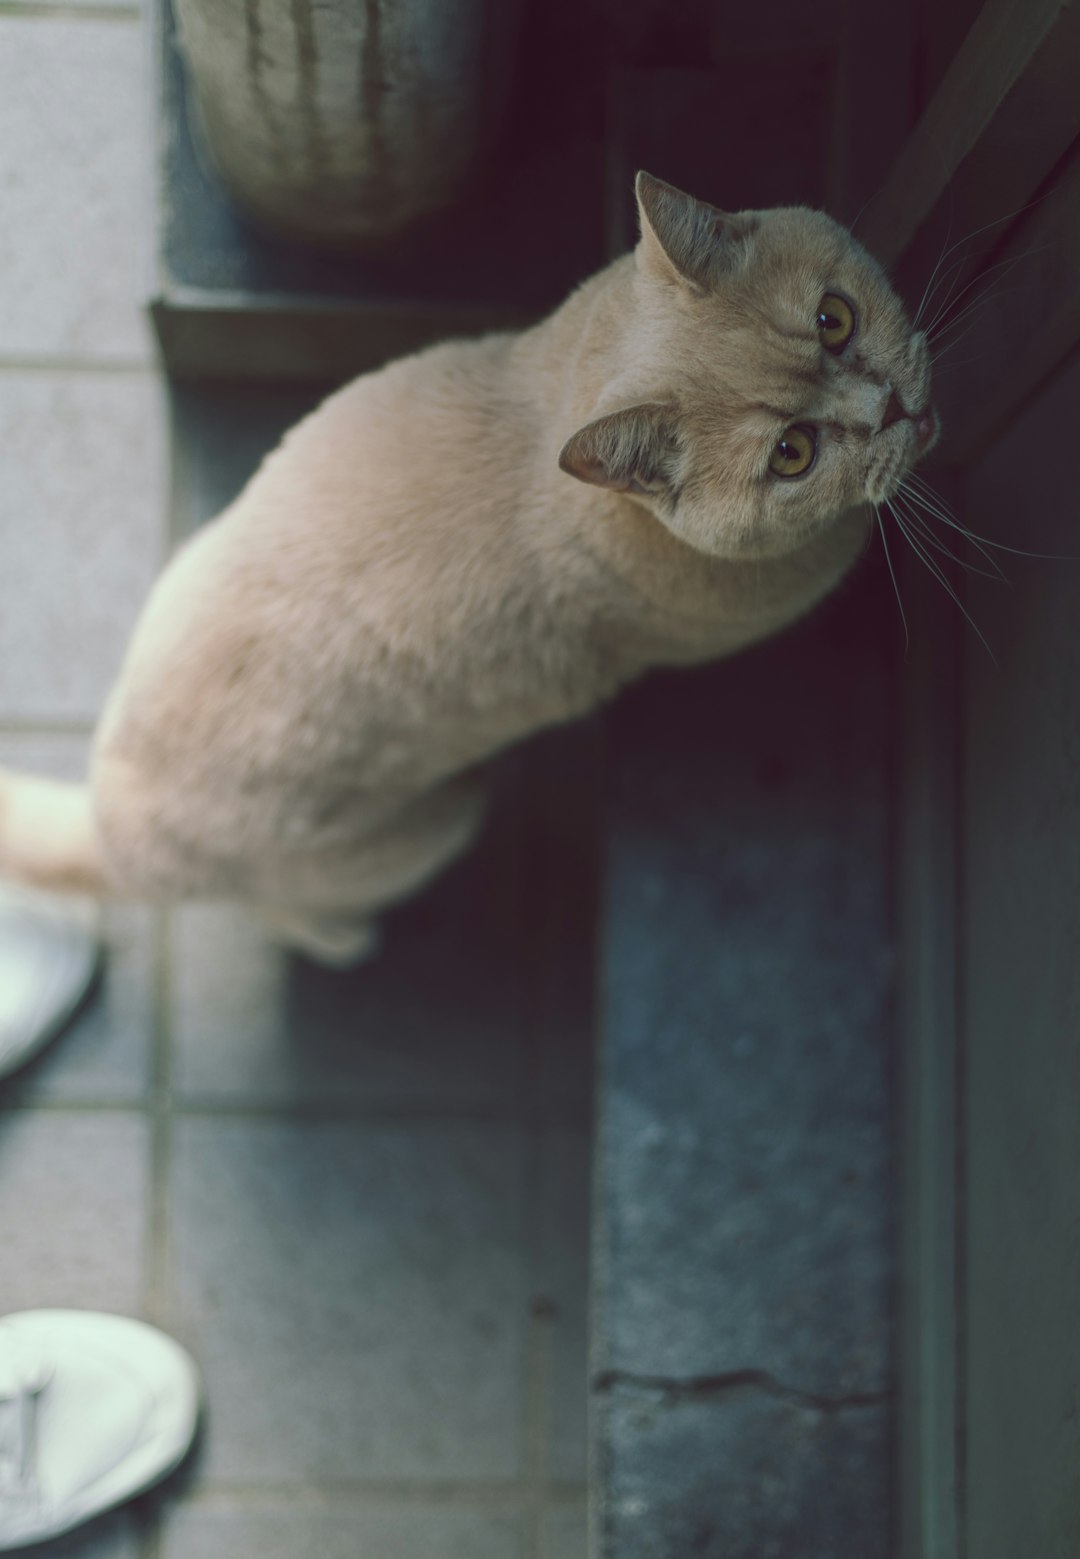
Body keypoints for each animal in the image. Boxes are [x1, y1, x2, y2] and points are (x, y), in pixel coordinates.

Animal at [0, 176, 935, 966]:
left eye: (836, 320)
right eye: (792, 454)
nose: (892, 406)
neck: (555, 407)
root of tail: (107, 820)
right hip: (437, 822)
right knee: (282, 919)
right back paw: (347, 940)